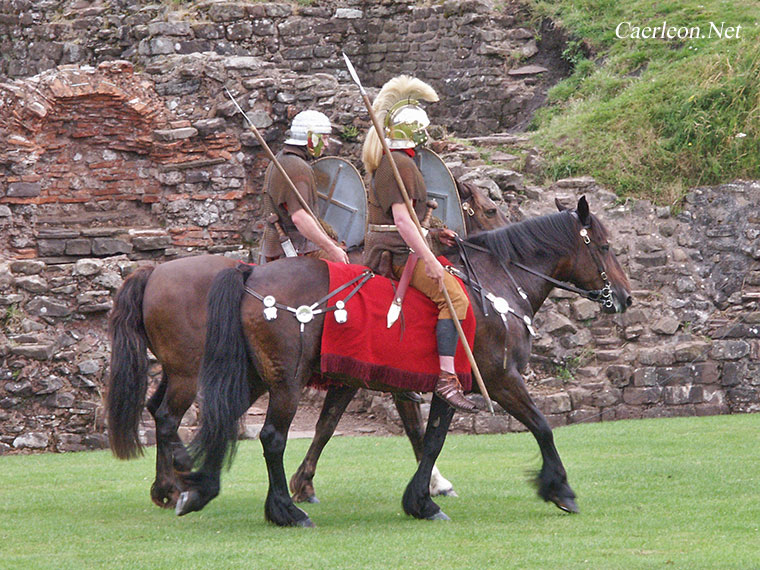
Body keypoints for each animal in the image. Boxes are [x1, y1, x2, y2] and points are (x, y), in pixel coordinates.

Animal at [104, 182, 502, 506]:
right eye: (491, 208)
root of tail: (152, 273)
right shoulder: (376, 375)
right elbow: (401, 425)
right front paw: (435, 482)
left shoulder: (362, 377)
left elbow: (331, 424)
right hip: (188, 374)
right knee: (168, 417)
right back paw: (182, 473)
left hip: (176, 371)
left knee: (155, 410)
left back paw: (167, 488)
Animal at [177, 195, 628, 524]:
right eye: (605, 247)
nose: (624, 298)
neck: (495, 284)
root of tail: (250, 274)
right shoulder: (501, 379)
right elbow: (542, 426)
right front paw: (560, 489)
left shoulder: (452, 388)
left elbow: (431, 441)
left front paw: (421, 501)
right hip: (286, 381)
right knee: (272, 437)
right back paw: (285, 510)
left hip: (256, 376)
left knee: (224, 421)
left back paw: (198, 491)